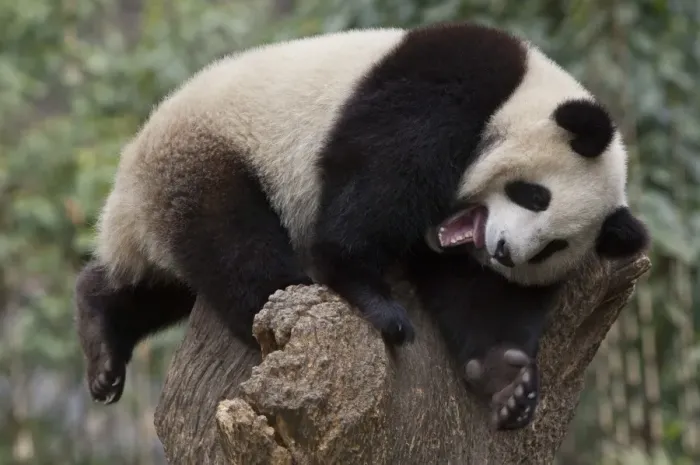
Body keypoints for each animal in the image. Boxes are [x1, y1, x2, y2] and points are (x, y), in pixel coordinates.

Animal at [74, 21, 649, 431]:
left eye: (552, 247)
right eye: (533, 195)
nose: (505, 250)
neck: (526, 95)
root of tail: (125, 195)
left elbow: (482, 293)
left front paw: (509, 384)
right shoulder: (449, 85)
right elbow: (380, 178)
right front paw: (376, 304)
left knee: (164, 283)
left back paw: (103, 334)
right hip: (203, 155)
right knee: (233, 243)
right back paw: (280, 300)